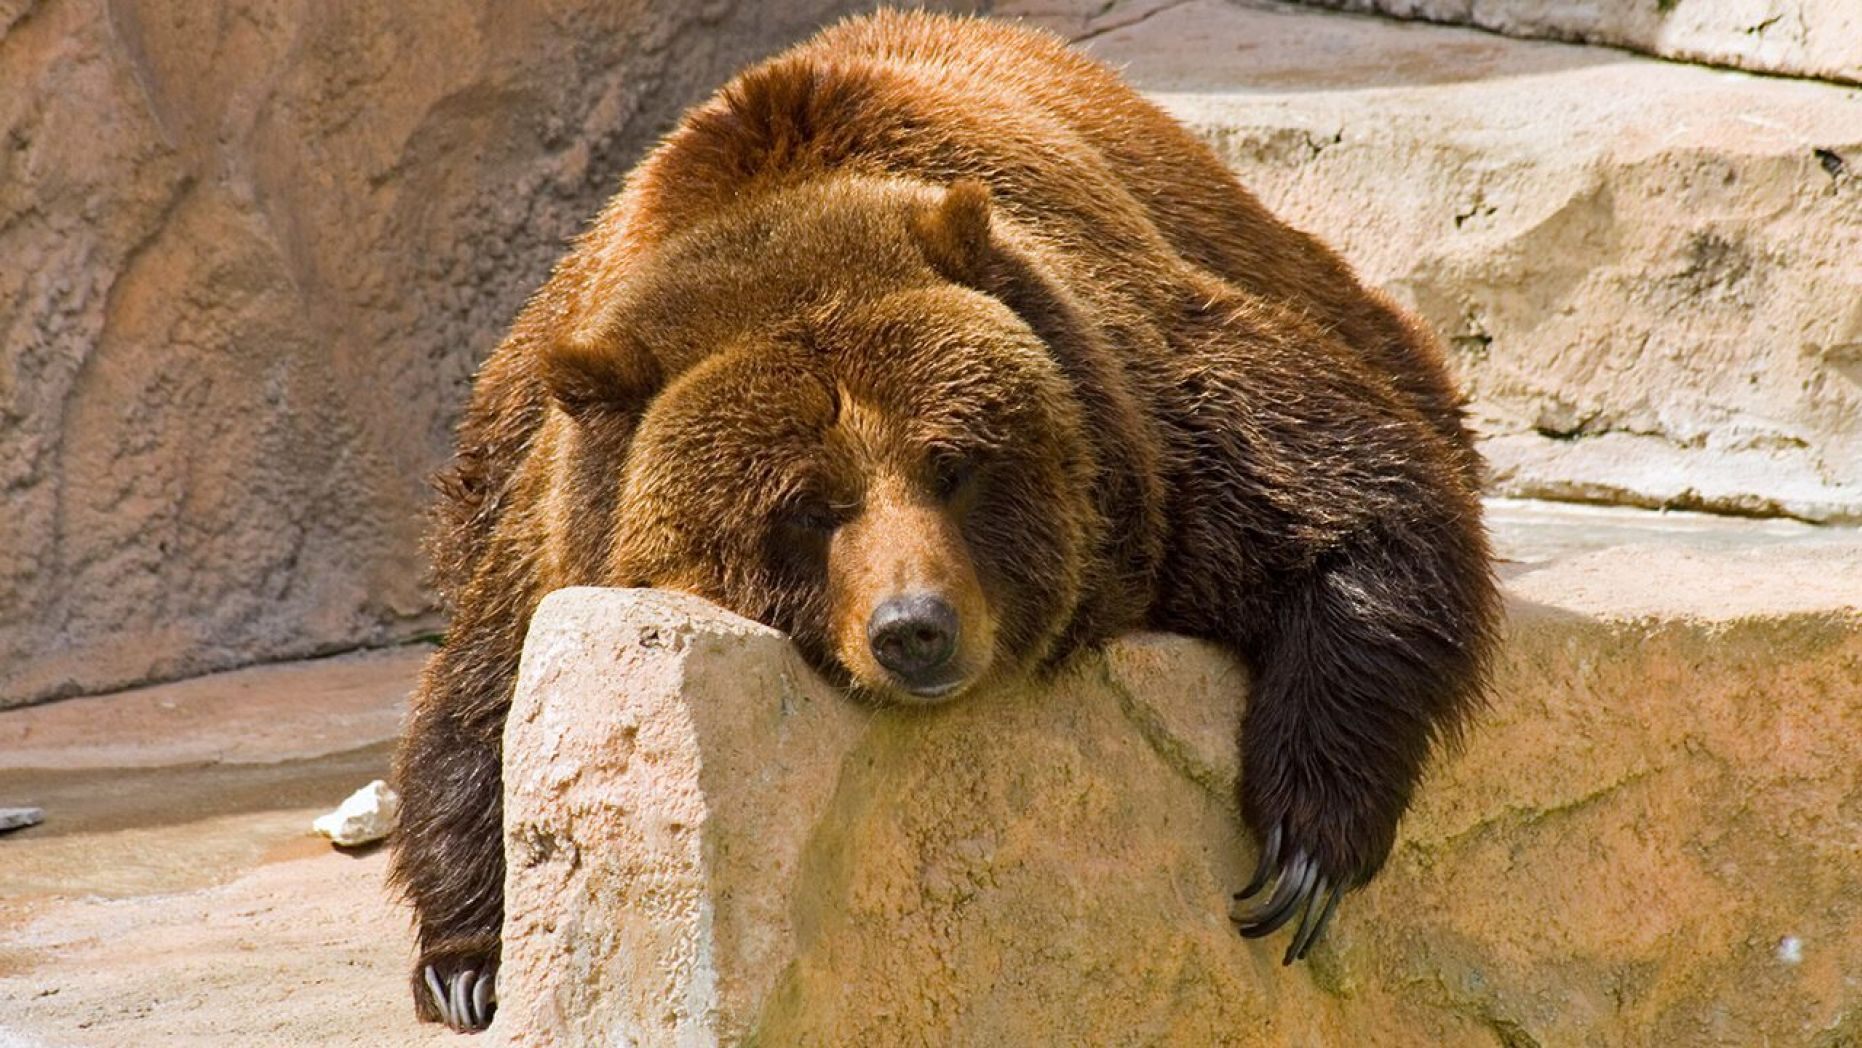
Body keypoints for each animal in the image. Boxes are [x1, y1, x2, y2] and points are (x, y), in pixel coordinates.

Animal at [389, 9, 1498, 1033]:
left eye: (951, 465)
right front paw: (470, 961)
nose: (915, 627)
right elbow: (486, 695)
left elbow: (1357, 502)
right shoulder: (559, 510)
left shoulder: (1152, 418)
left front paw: (1301, 846)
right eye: (807, 506)